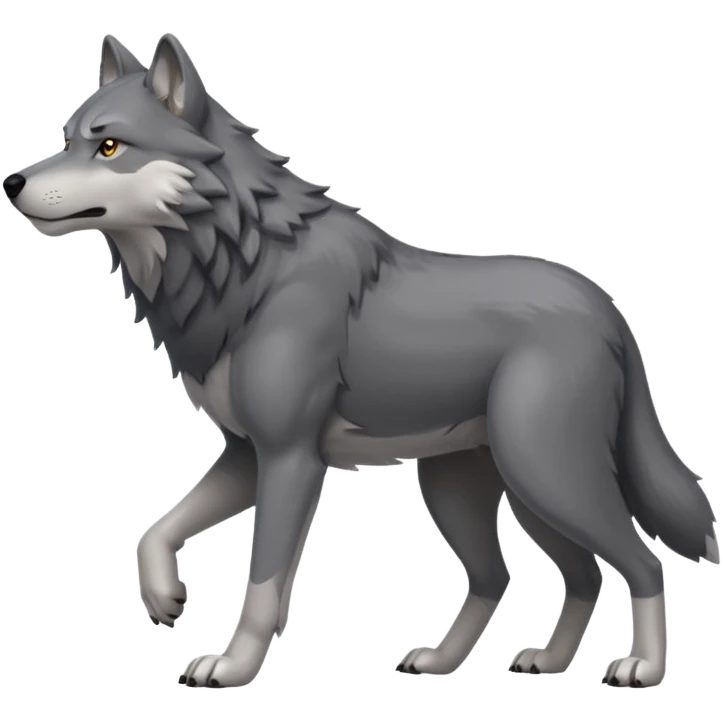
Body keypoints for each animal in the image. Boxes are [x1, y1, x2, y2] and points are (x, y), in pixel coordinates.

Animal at [3, 32, 718, 690]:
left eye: (109, 147)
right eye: (66, 137)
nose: (11, 182)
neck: (241, 267)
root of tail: (609, 310)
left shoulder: (290, 458)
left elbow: (263, 583)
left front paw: (233, 666)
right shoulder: (245, 454)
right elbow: (153, 531)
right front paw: (164, 597)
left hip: (547, 476)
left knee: (640, 562)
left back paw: (642, 667)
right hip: (486, 487)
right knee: (539, 574)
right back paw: (491, 661)